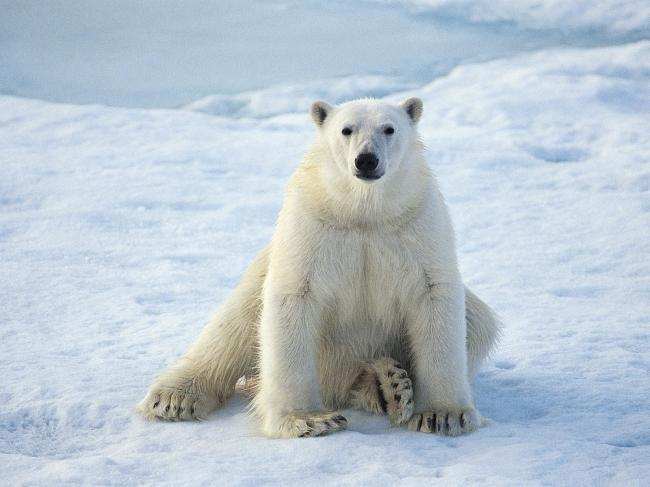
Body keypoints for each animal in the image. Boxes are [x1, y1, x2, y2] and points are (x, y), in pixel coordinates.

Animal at [138, 97, 502, 440]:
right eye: (346, 129)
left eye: (389, 129)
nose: (366, 159)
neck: (363, 212)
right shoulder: (312, 227)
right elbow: (293, 299)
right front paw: (309, 420)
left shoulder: (417, 225)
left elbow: (434, 297)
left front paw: (443, 415)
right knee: (233, 325)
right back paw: (174, 398)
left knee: (479, 321)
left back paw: (388, 386)